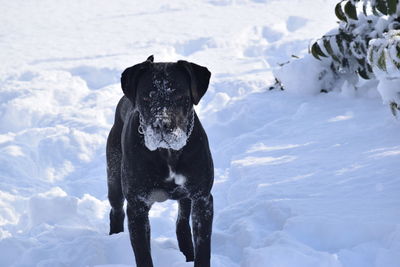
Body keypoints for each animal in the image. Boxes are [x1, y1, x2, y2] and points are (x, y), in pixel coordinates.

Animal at [105, 55, 212, 266]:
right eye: (146, 98)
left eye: (180, 96)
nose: (162, 124)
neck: (168, 153)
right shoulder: (137, 206)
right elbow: (143, 256)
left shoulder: (202, 199)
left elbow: (203, 249)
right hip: (114, 180)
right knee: (116, 211)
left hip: (185, 197)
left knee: (181, 223)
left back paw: (187, 253)